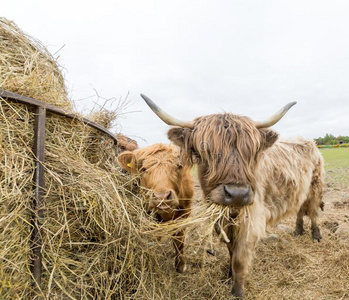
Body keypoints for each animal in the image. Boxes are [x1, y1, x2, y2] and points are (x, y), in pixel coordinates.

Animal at [117, 144, 193, 274]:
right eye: (143, 169)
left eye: (178, 166)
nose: (161, 197)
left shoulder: (184, 215)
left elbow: (179, 240)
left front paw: (181, 265)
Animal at [140, 95, 324, 298]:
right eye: (205, 151)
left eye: (252, 152)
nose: (237, 194)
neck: (231, 213)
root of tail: (308, 141)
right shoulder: (223, 222)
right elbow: (230, 250)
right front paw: (229, 274)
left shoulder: (250, 222)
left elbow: (239, 258)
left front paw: (237, 291)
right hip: (302, 190)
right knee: (301, 207)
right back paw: (298, 230)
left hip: (315, 186)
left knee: (313, 210)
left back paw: (316, 235)